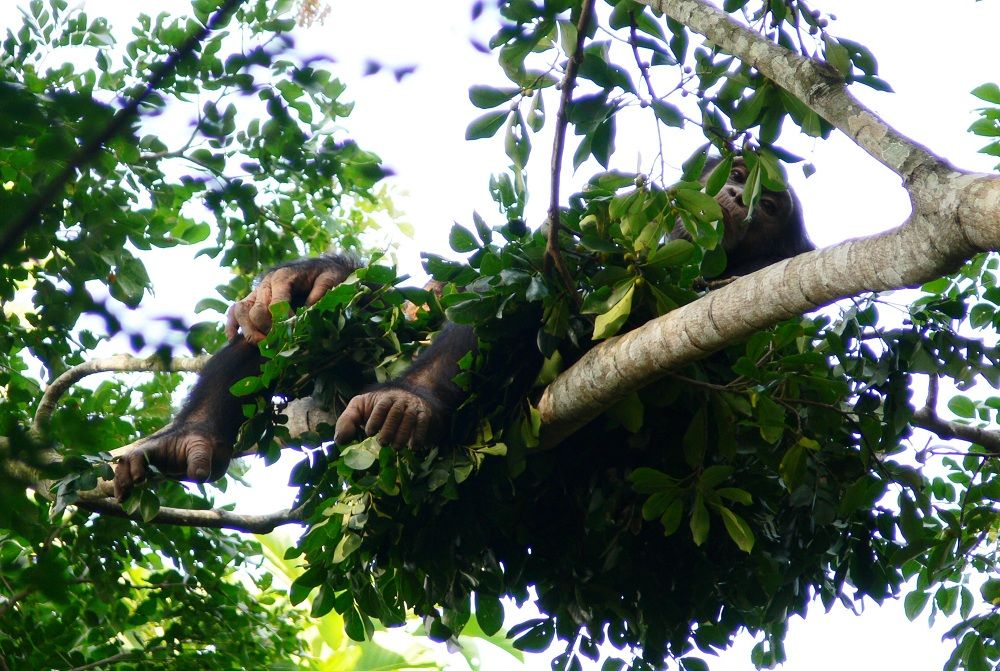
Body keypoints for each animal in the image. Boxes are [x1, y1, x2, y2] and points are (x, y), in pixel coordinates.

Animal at [111, 158, 812, 502]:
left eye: (770, 205)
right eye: (740, 178)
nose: (737, 196)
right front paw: (305, 277)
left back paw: (407, 402)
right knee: (288, 335)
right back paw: (190, 434)